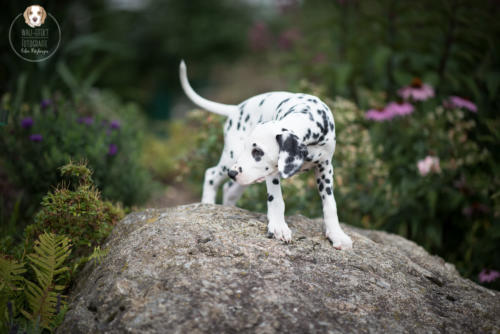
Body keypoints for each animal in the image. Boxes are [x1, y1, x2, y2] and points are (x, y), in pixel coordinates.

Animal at [179, 60, 352, 249]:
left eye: (258, 152)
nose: (232, 173)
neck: (307, 118)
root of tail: (235, 109)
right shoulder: (273, 172)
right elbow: (276, 199)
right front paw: (279, 227)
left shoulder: (325, 167)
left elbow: (330, 204)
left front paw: (336, 234)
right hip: (231, 158)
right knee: (210, 174)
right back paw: (208, 204)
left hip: (244, 176)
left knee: (229, 189)